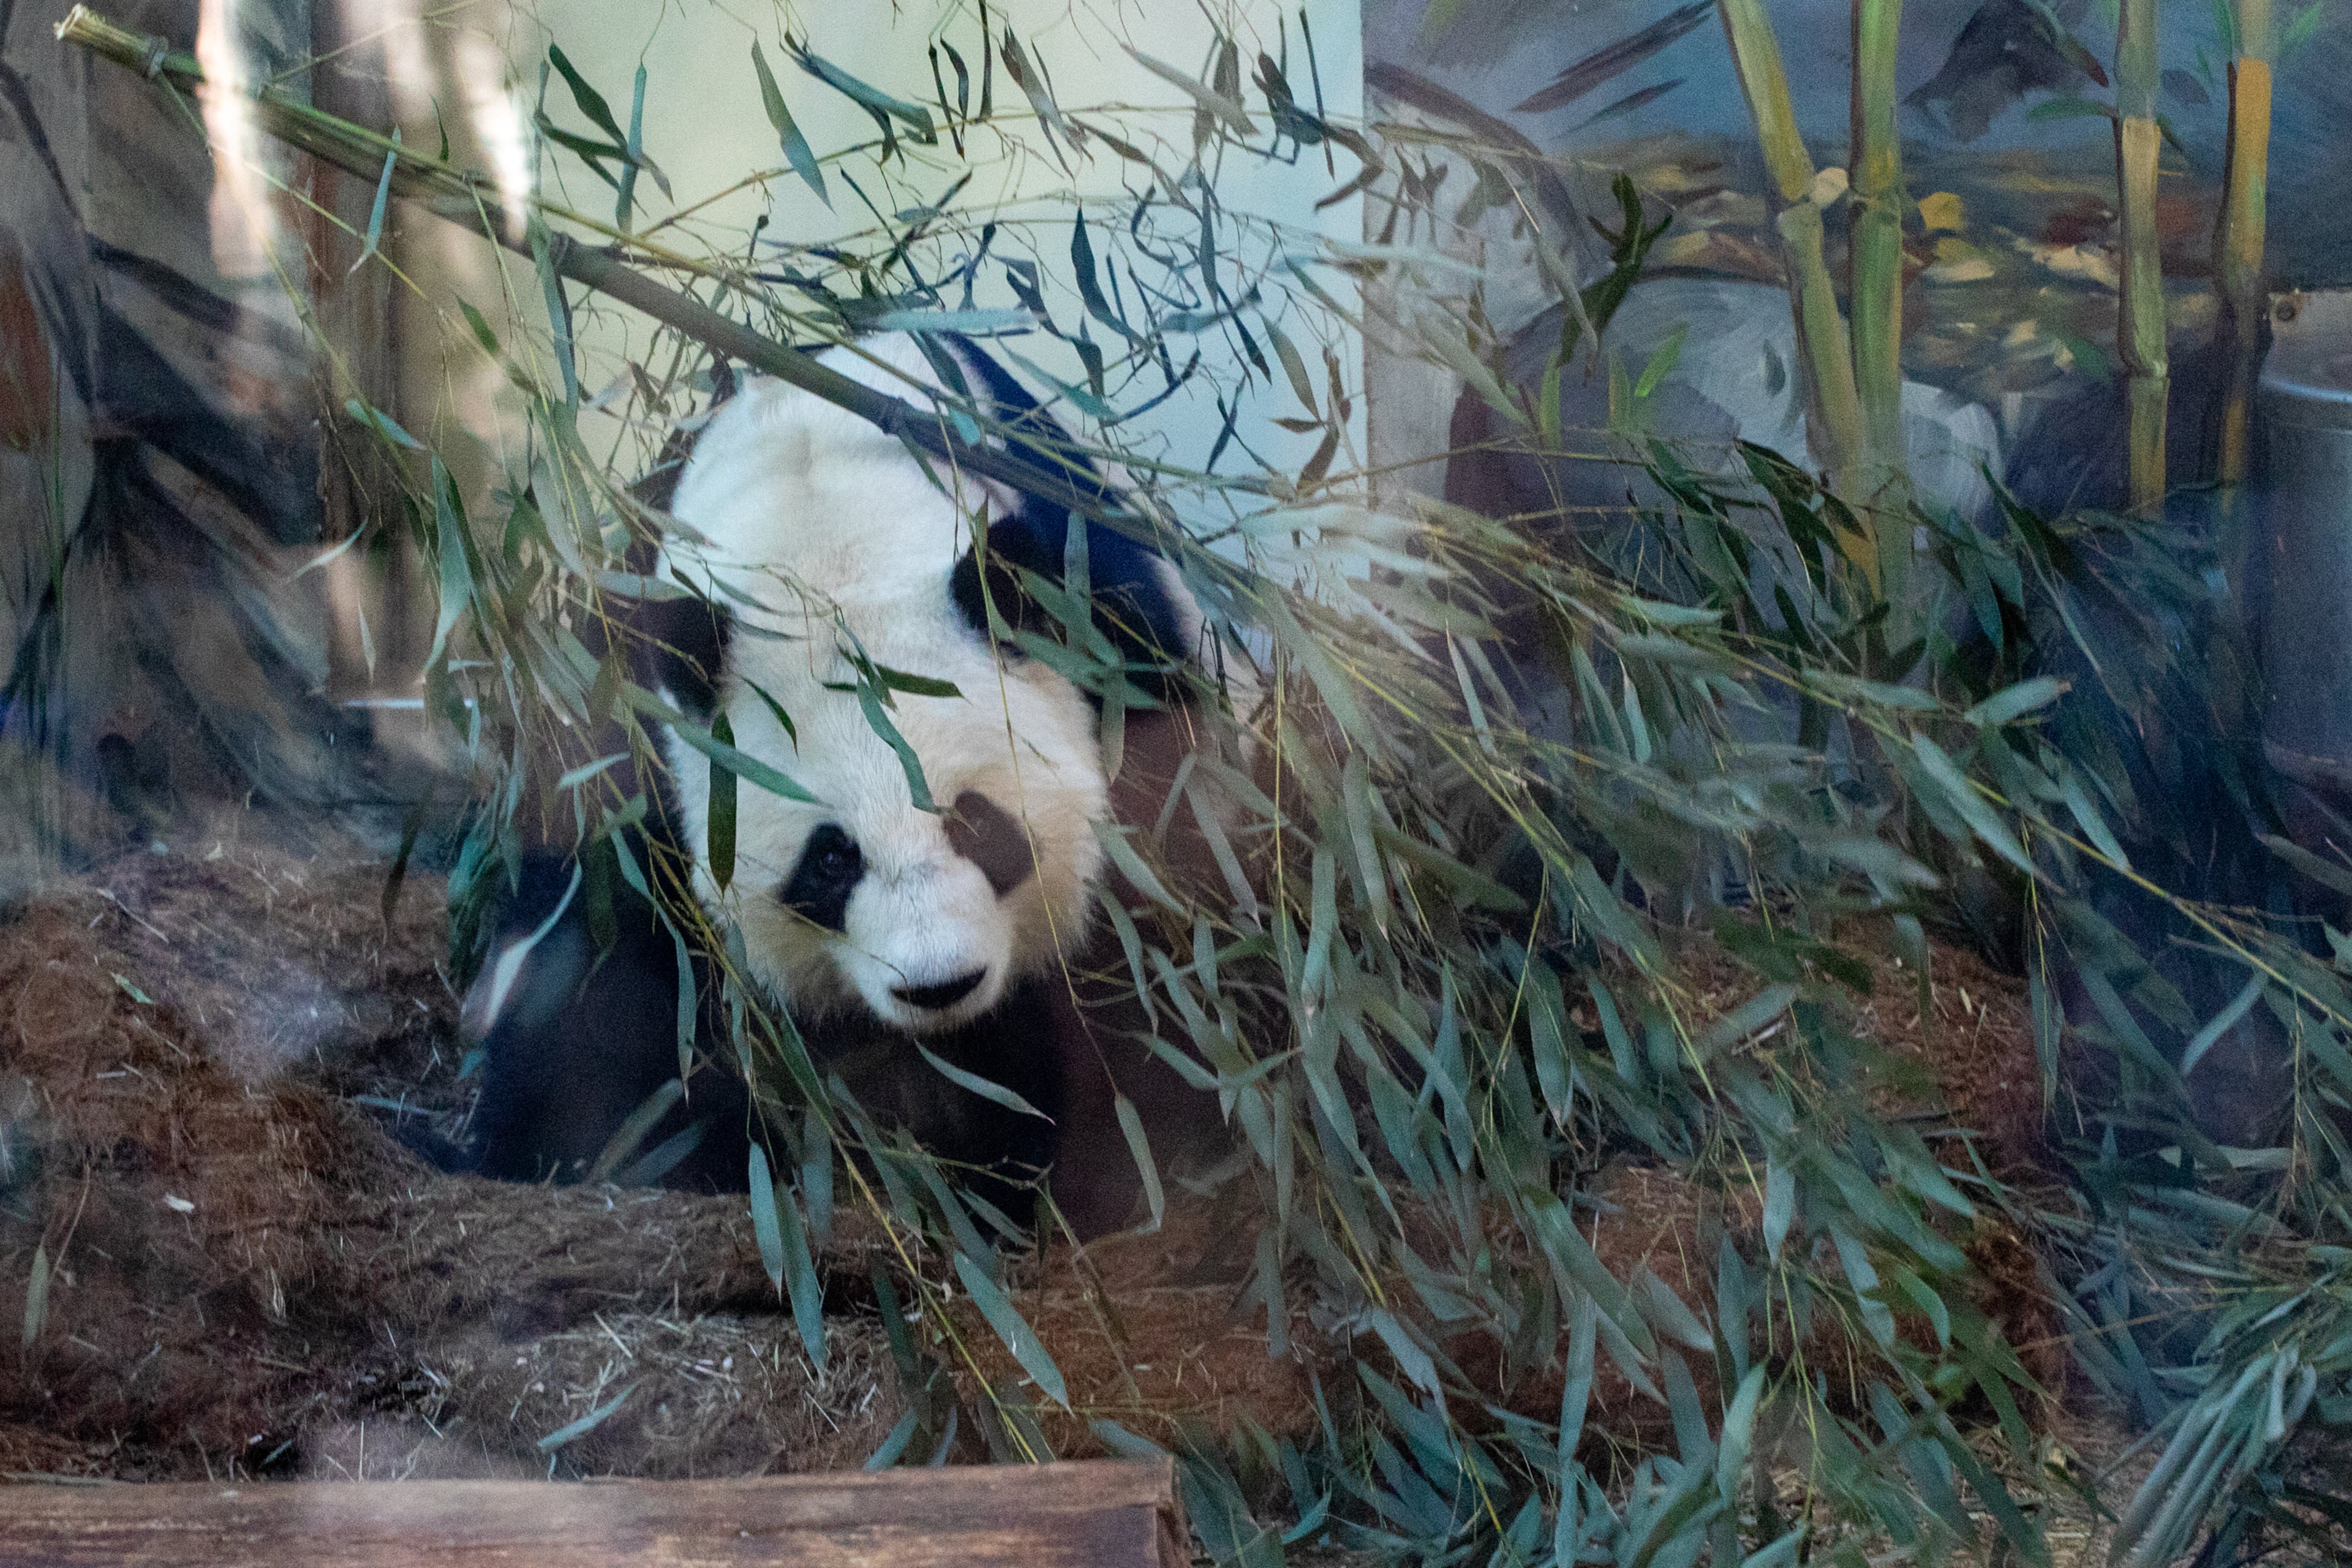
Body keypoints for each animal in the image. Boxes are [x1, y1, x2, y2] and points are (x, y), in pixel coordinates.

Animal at [445, 331, 1234, 1233]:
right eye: (832, 859)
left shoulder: (1118, 645)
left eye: (976, 823)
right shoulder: (639, 740)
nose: (941, 985)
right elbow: (614, 983)